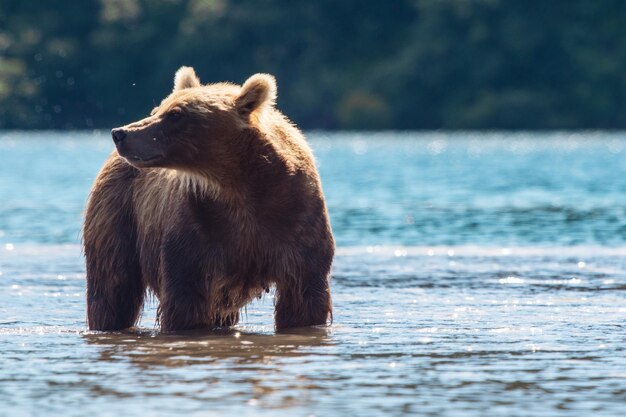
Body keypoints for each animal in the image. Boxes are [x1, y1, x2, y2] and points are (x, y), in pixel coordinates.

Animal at [86, 66, 336, 332]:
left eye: (175, 114)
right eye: (158, 110)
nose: (120, 133)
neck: (239, 185)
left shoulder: (295, 219)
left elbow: (304, 298)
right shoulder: (198, 226)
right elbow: (185, 296)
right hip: (119, 216)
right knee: (112, 287)